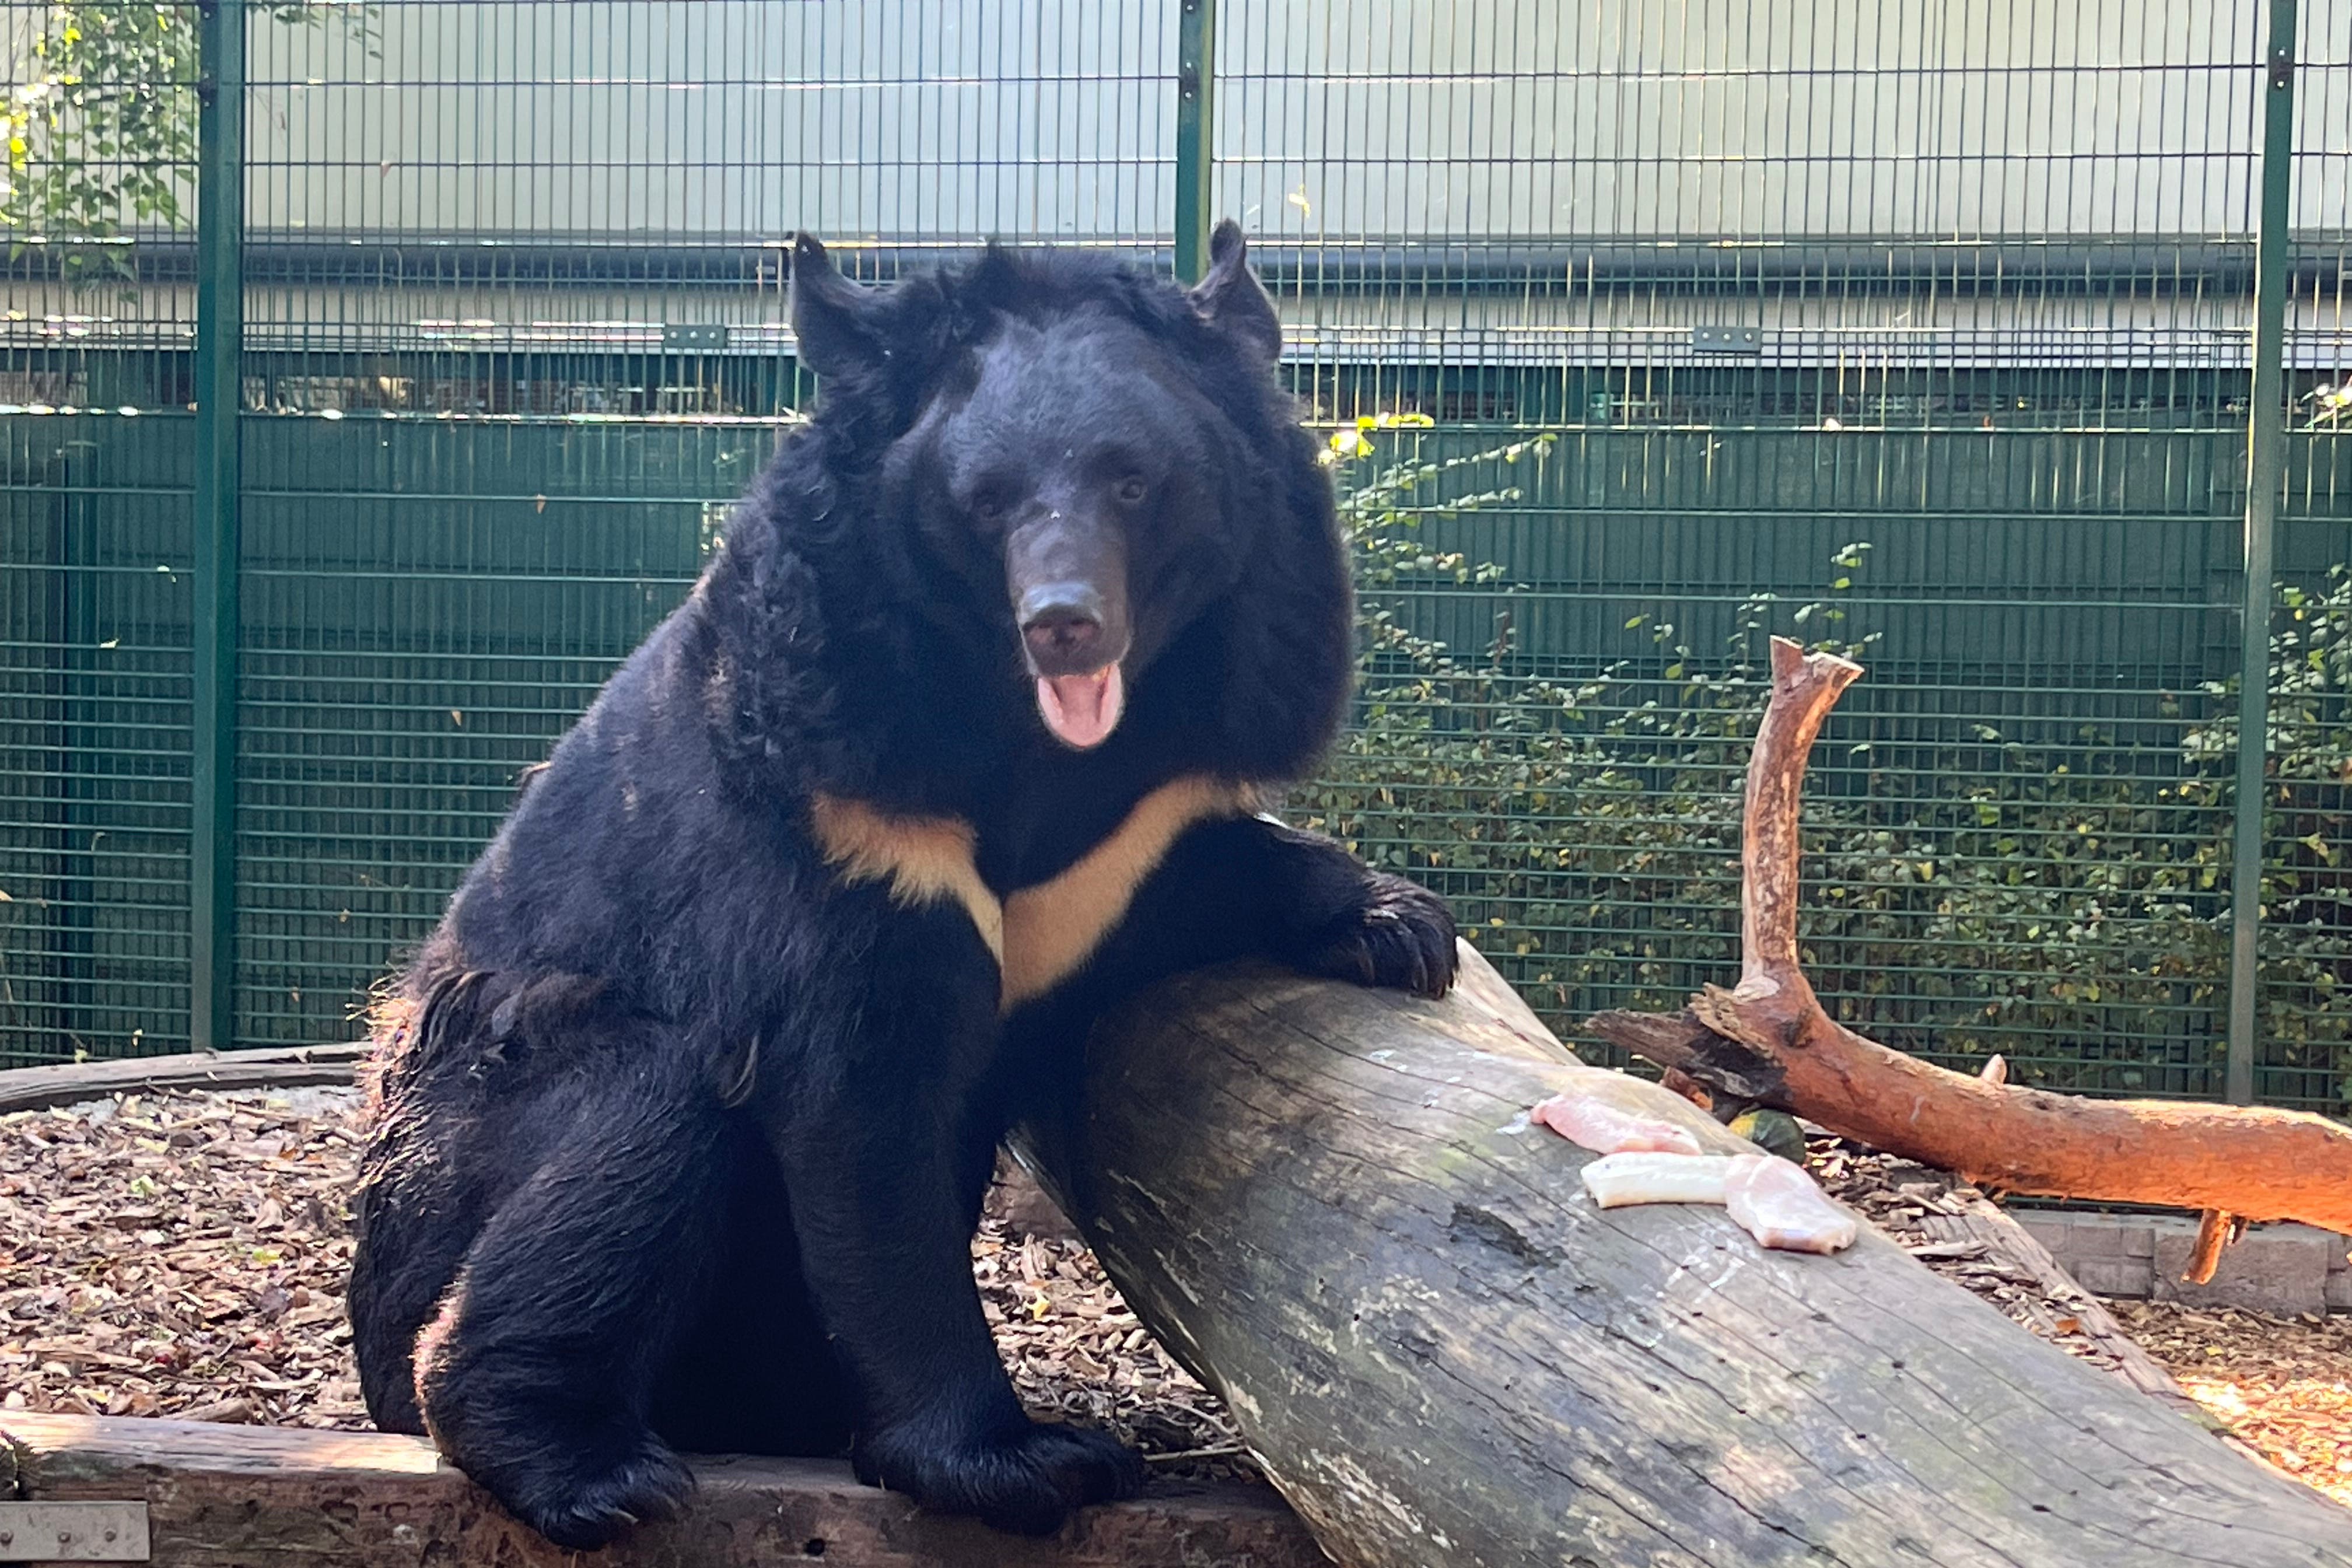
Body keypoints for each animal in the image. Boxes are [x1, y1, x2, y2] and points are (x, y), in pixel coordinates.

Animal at [345, 226, 1448, 1551]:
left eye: (1133, 484)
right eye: (986, 502)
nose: (1066, 624)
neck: (1028, 735)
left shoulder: (1134, 823)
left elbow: (1193, 869)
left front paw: (1397, 926)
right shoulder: (839, 814)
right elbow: (866, 1111)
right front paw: (1024, 1461)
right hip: (456, 1137)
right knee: (639, 1118)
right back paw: (589, 1468)